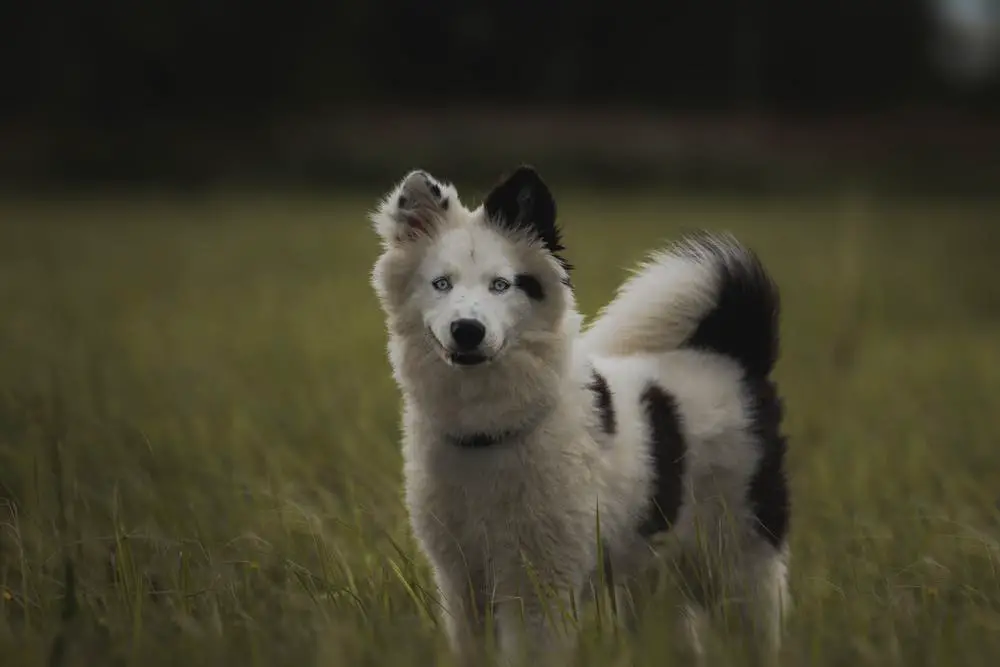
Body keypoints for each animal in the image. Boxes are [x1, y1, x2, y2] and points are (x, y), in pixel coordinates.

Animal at [368, 167, 788, 667]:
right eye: (441, 284)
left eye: (501, 285)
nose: (467, 331)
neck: (489, 432)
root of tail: (734, 353)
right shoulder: (461, 578)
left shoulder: (539, 583)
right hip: (651, 577)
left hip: (740, 560)